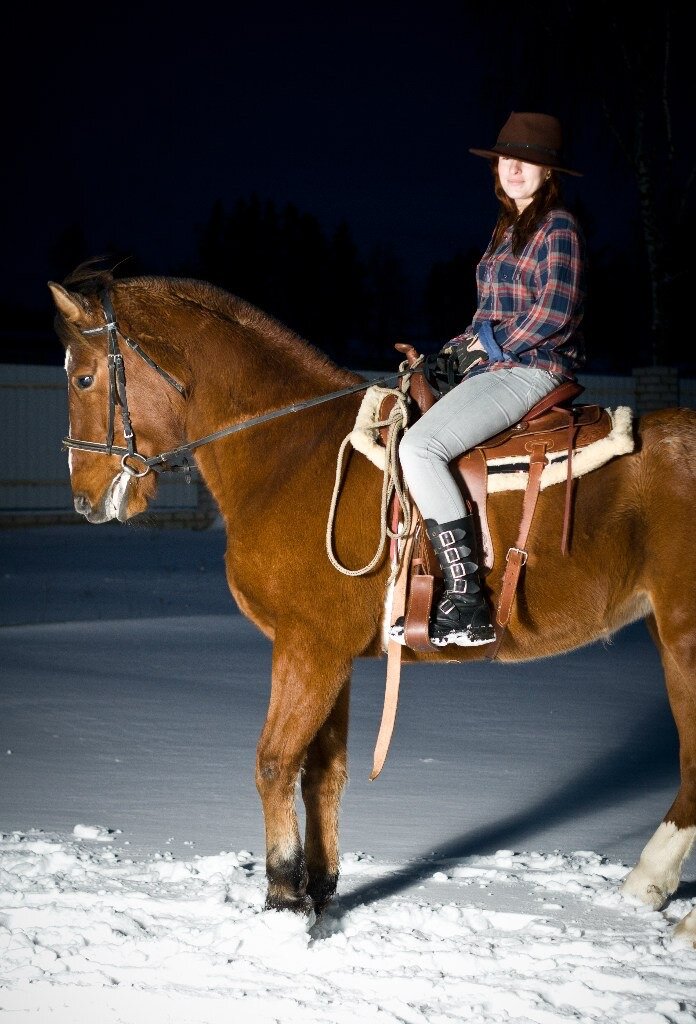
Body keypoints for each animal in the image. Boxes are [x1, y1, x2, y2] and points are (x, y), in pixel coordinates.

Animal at [47, 264, 696, 942]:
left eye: (84, 377)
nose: (85, 500)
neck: (290, 452)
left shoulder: (307, 648)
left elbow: (275, 762)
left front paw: (284, 900)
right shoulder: (331, 654)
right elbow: (321, 771)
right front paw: (318, 893)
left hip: (683, 634)